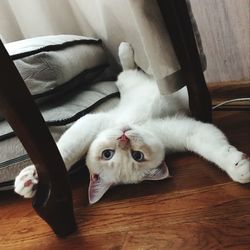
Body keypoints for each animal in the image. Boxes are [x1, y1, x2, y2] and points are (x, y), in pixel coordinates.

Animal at [15, 42, 250, 204]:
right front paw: (238, 167)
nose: (123, 138)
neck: (140, 124)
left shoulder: (94, 122)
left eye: (107, 154)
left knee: (128, 69)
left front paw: (32, 178)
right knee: (130, 70)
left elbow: (64, 150)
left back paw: (125, 48)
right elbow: (213, 148)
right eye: (136, 156)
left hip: (131, 82)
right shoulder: (189, 132)